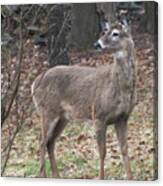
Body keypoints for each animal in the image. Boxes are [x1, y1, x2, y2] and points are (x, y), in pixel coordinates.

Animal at [31, 19, 136, 179]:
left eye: (115, 33)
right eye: (104, 31)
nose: (97, 44)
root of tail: (35, 83)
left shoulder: (123, 117)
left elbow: (124, 149)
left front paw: (130, 178)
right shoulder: (98, 114)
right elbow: (102, 152)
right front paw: (101, 177)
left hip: (63, 117)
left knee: (50, 141)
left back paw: (57, 175)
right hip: (47, 111)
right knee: (41, 141)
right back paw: (43, 175)